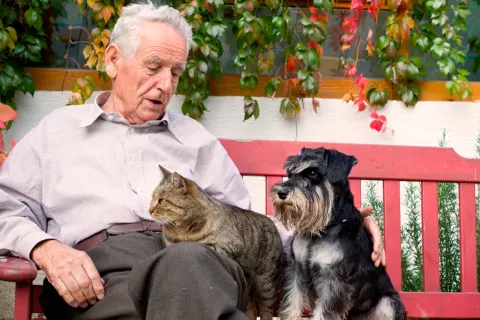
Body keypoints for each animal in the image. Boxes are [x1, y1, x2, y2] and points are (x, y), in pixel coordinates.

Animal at [268, 146, 406, 318]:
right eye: (290, 173)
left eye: (312, 172)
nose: (281, 193)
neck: (323, 228)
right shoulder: (296, 271)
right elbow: (292, 304)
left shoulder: (333, 281)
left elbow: (323, 313)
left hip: (388, 303)